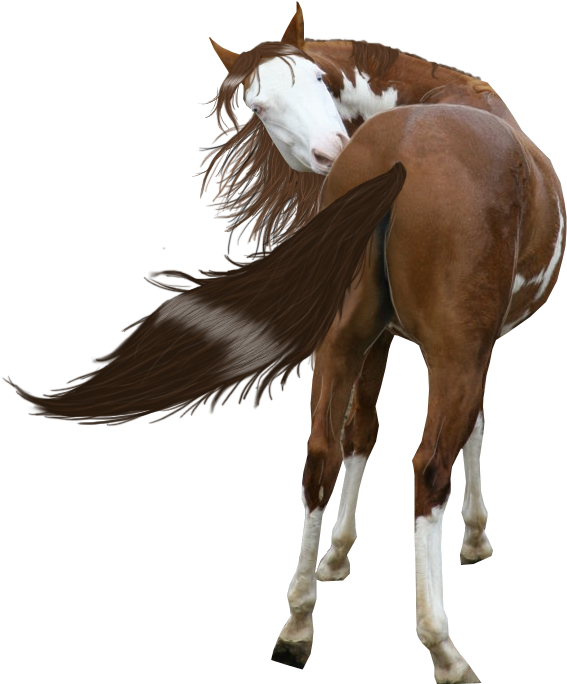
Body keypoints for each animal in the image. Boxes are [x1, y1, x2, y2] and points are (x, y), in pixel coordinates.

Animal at [3, 9, 564, 684]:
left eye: (321, 80)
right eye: (258, 105)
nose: (328, 151)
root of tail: (398, 161)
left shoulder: (381, 340)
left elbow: (360, 435)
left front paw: (338, 554)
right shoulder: (470, 347)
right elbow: (471, 428)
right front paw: (476, 537)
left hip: (346, 340)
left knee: (320, 454)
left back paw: (297, 625)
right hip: (454, 353)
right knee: (429, 469)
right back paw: (441, 645)